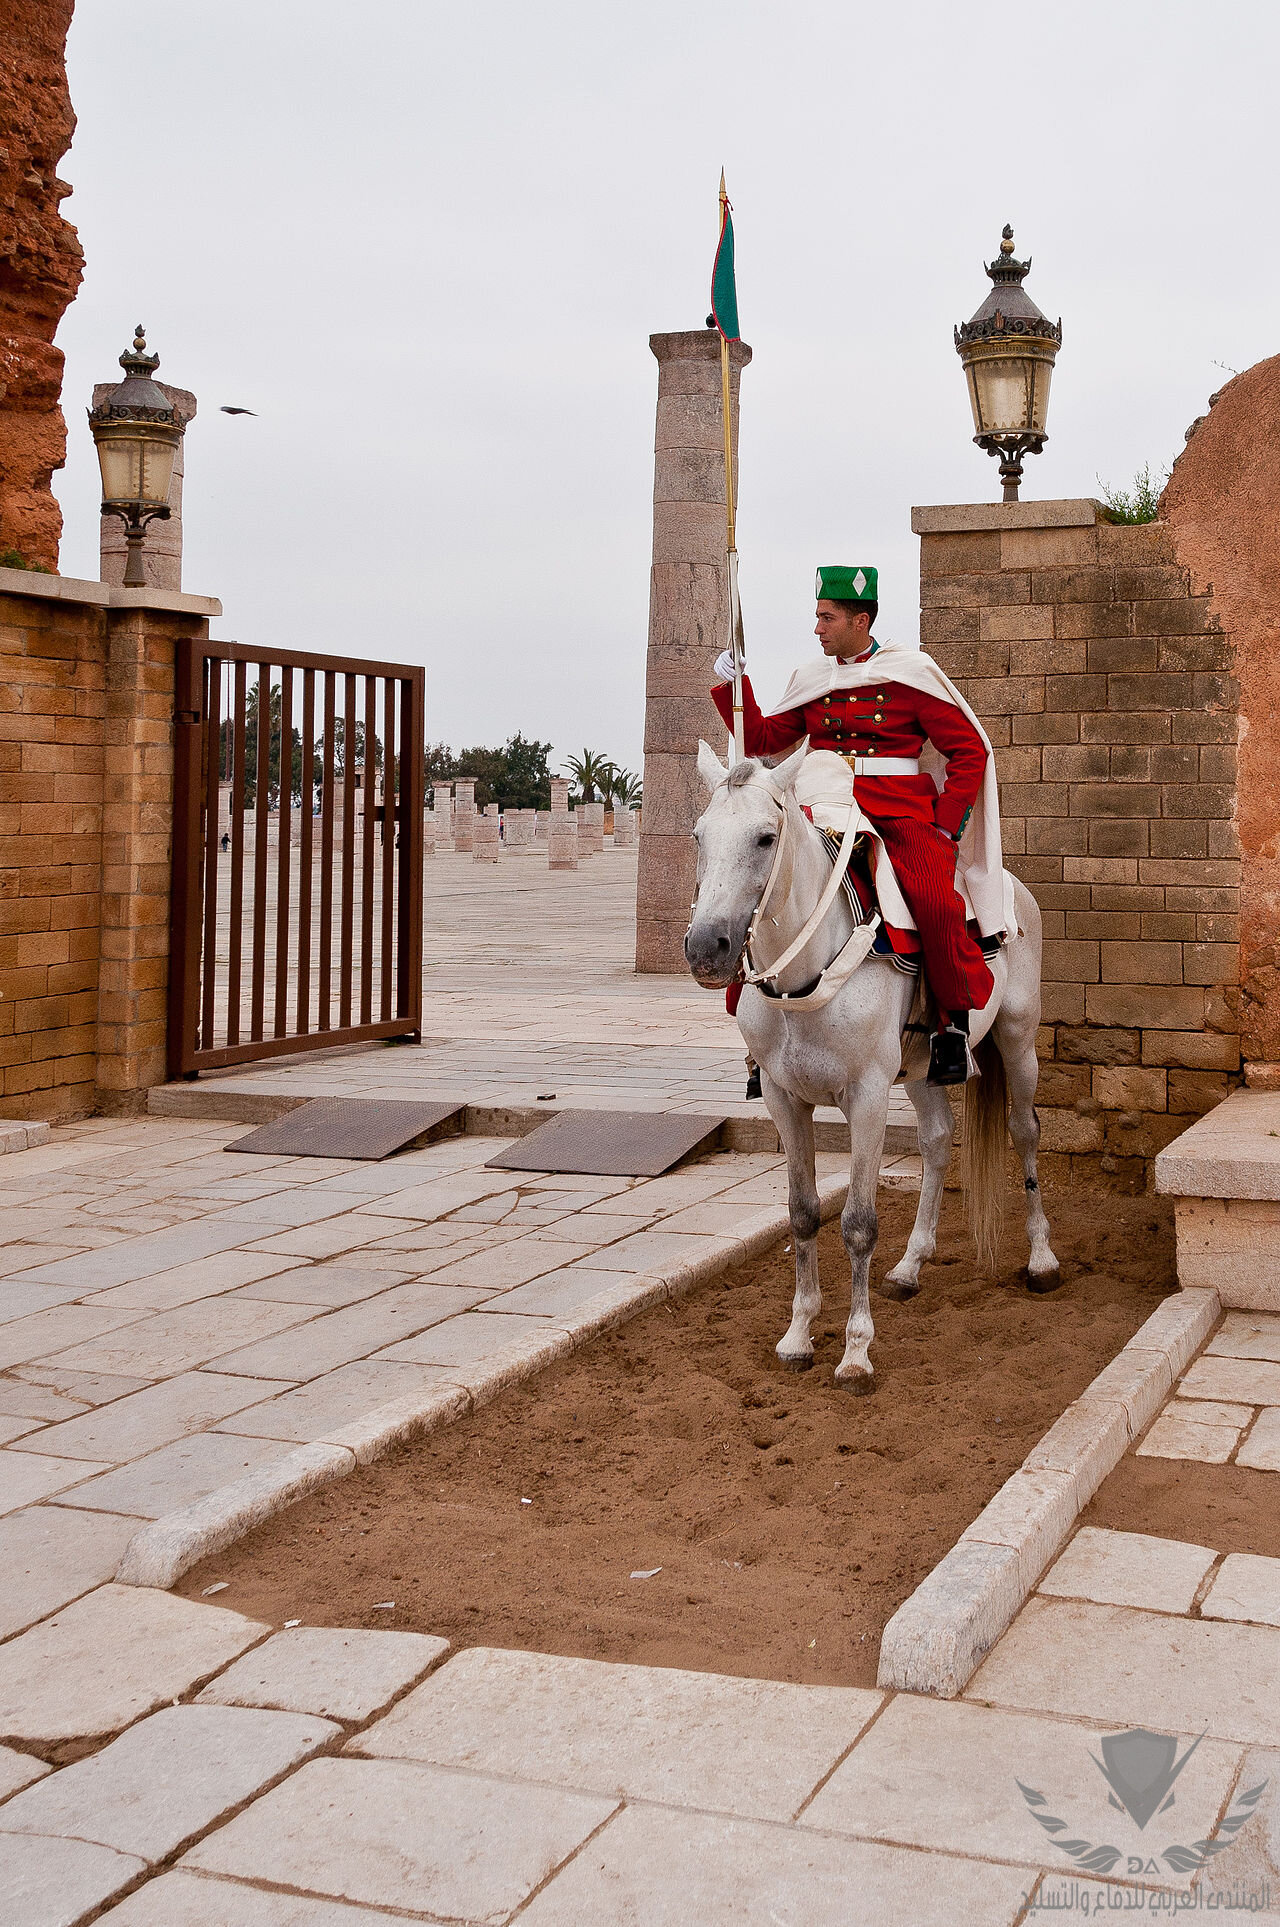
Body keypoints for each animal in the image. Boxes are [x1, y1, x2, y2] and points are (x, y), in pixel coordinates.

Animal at [690, 732, 1056, 1387]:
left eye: (764, 837)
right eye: (699, 836)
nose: (706, 947)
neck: (806, 974)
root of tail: (1009, 885)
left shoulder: (865, 1097)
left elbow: (858, 1224)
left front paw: (856, 1351)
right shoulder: (785, 1099)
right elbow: (803, 1214)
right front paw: (798, 1335)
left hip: (1018, 1041)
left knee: (1024, 1131)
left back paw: (1041, 1259)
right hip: (922, 1069)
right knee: (937, 1140)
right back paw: (911, 1266)